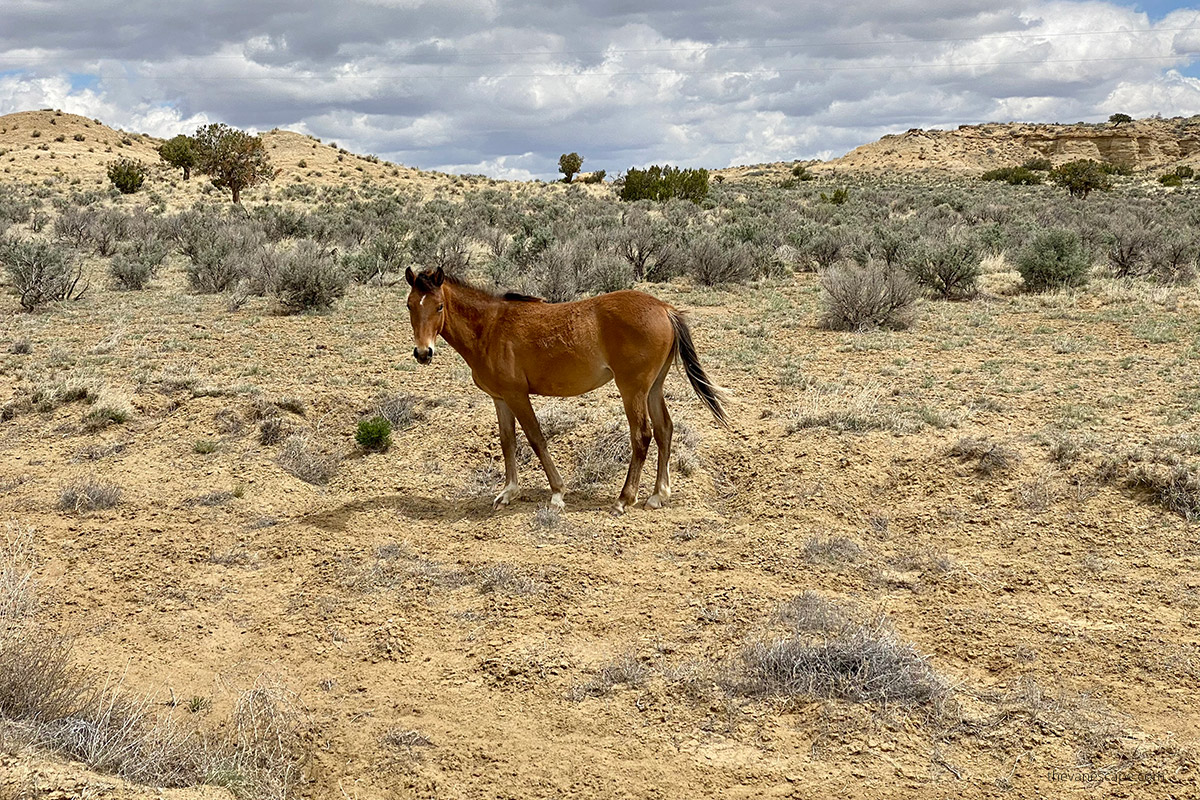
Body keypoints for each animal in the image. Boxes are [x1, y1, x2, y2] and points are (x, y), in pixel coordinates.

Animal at [403, 263, 724, 513]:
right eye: (409, 305)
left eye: (439, 306)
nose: (423, 353)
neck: (490, 328)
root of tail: (665, 308)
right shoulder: (500, 398)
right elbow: (507, 441)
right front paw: (508, 492)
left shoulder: (517, 396)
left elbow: (536, 439)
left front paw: (557, 492)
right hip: (654, 387)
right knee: (664, 429)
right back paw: (658, 495)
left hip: (632, 388)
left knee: (642, 434)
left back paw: (624, 499)